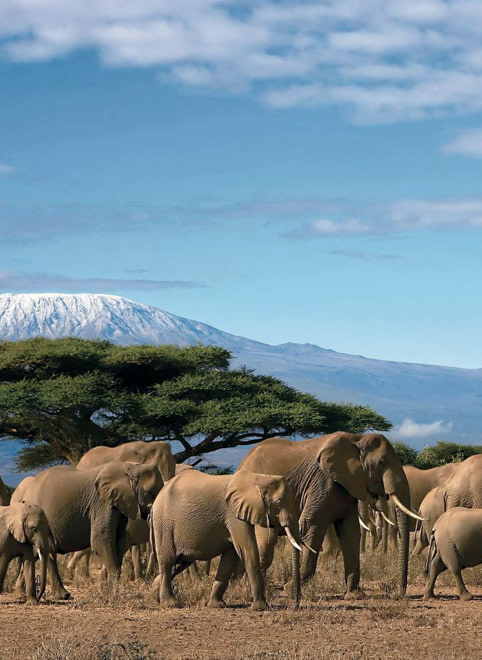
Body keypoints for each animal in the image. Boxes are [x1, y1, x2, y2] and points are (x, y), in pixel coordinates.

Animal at [18, 464, 163, 600]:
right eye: (150, 492)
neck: (131, 467)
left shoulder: (119, 505)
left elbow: (119, 541)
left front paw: (108, 592)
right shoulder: (102, 503)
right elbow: (101, 539)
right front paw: (113, 595)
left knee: (44, 552)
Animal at [151, 466, 304, 612]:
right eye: (278, 502)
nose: (296, 605)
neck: (258, 478)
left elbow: (230, 556)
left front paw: (217, 605)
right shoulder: (233, 514)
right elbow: (247, 550)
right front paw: (261, 608)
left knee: (181, 562)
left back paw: (154, 595)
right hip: (164, 524)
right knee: (168, 561)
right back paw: (170, 604)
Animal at [239, 434, 424, 600]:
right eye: (382, 462)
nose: (399, 594)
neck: (357, 438)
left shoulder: (347, 487)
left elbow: (350, 532)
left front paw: (355, 596)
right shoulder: (322, 483)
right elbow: (312, 525)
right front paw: (289, 590)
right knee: (266, 542)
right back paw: (249, 594)